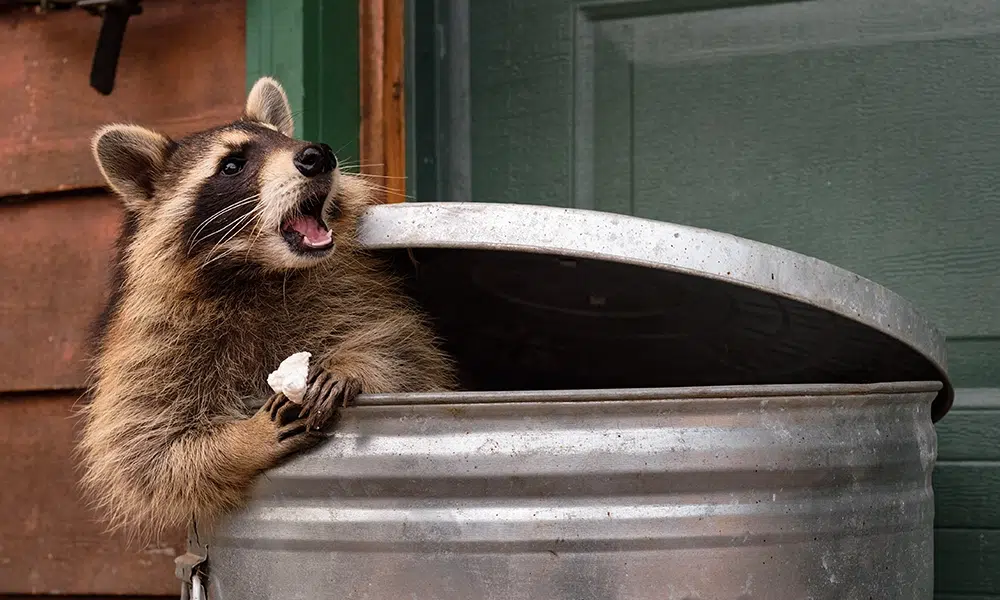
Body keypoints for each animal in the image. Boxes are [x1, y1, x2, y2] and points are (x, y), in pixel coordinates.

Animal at [77, 76, 458, 544]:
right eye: (232, 165)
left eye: (285, 139)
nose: (317, 154)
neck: (261, 269)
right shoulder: (151, 342)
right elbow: (146, 451)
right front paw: (241, 442)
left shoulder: (352, 290)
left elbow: (406, 353)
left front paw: (351, 365)